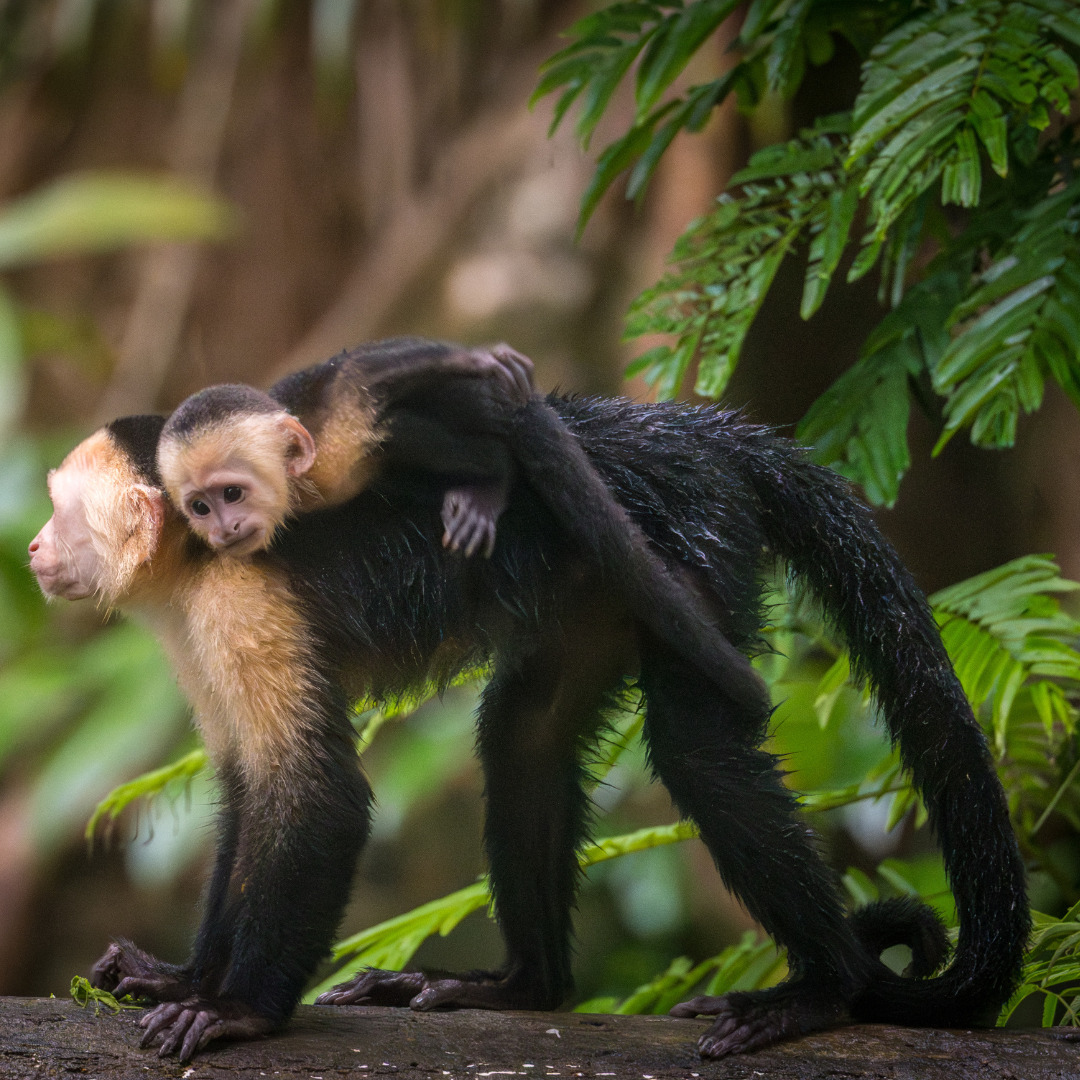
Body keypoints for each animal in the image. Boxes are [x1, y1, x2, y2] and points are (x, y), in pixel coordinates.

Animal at [29, 391, 1028, 1064]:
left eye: (57, 512)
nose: (34, 546)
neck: (193, 558)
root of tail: (692, 433)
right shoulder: (198, 619)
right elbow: (248, 792)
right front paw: (185, 978)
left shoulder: (243, 597)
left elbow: (318, 798)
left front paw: (239, 1010)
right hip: (598, 585)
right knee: (523, 734)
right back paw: (522, 986)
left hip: (691, 540)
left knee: (701, 755)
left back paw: (824, 993)